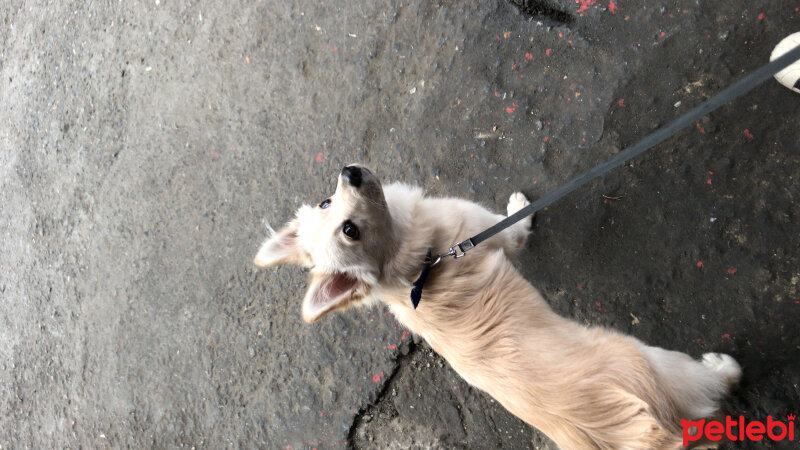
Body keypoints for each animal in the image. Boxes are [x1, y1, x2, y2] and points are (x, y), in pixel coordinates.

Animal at [253, 165, 740, 450]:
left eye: (328, 203)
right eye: (349, 230)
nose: (349, 170)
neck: (416, 269)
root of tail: (654, 437)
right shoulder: (497, 233)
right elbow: (518, 224)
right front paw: (521, 205)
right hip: (655, 361)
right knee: (714, 380)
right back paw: (724, 365)